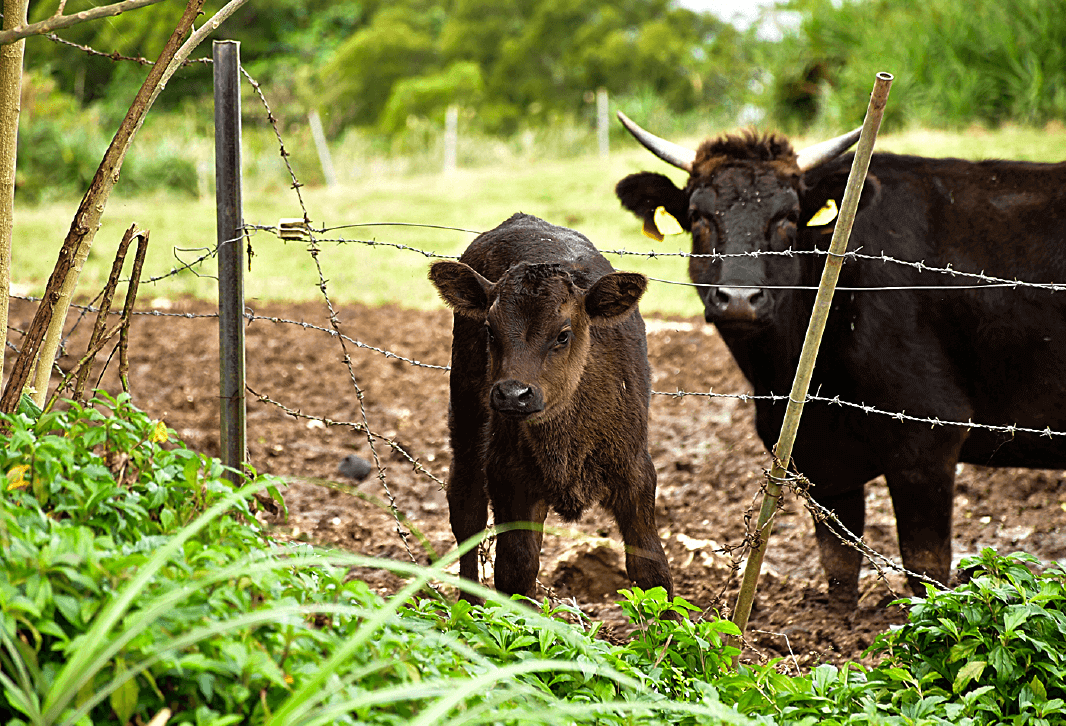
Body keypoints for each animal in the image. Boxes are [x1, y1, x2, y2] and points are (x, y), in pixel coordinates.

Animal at [614, 110, 1066, 601]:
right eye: (699, 216)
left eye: (789, 218)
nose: (738, 299)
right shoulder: (819, 457)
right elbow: (838, 567)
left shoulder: (927, 438)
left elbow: (926, 571)